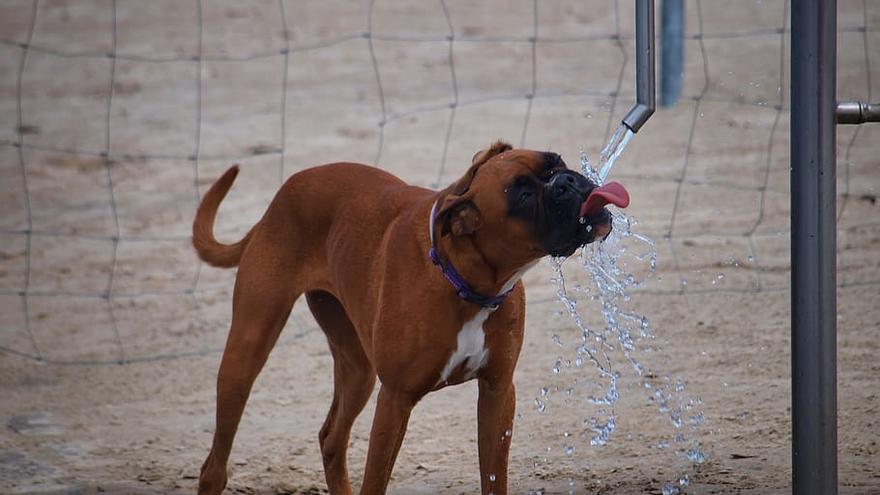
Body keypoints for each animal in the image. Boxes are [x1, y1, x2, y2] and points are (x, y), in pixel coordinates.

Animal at [192, 140, 624, 495]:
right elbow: (375, 482)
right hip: (246, 353)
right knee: (215, 465)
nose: (566, 181)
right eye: (522, 194)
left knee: (331, 438)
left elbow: (493, 478)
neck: (466, 279)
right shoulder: (395, 400)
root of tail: (281, 195)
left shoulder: (498, 392)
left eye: (557, 163)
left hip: (358, 370)